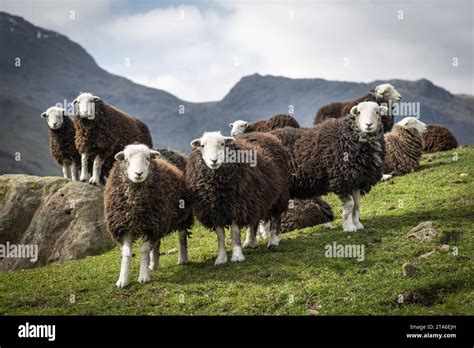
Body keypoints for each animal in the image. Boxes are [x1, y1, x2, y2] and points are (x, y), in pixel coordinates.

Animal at [104, 144, 193, 288]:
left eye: (147, 158)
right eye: (126, 159)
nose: (138, 174)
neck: (136, 207)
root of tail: (169, 150)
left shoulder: (150, 226)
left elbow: (144, 250)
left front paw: (144, 276)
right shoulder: (125, 227)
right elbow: (127, 253)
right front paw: (123, 280)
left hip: (183, 214)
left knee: (181, 236)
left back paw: (183, 258)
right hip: (159, 221)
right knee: (157, 242)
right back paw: (154, 264)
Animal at [184, 130, 288, 264]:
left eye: (222, 144)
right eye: (202, 146)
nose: (214, 160)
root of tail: (264, 134)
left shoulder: (236, 207)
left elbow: (234, 234)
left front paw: (237, 256)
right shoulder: (215, 211)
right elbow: (220, 236)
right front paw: (221, 258)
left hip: (278, 195)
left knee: (275, 218)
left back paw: (273, 241)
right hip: (253, 200)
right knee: (253, 221)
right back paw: (250, 242)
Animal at [272, 100, 386, 231]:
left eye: (377, 112)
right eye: (358, 112)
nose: (368, 124)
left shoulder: (356, 179)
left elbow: (357, 205)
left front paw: (357, 224)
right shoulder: (341, 180)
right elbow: (350, 205)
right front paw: (349, 227)